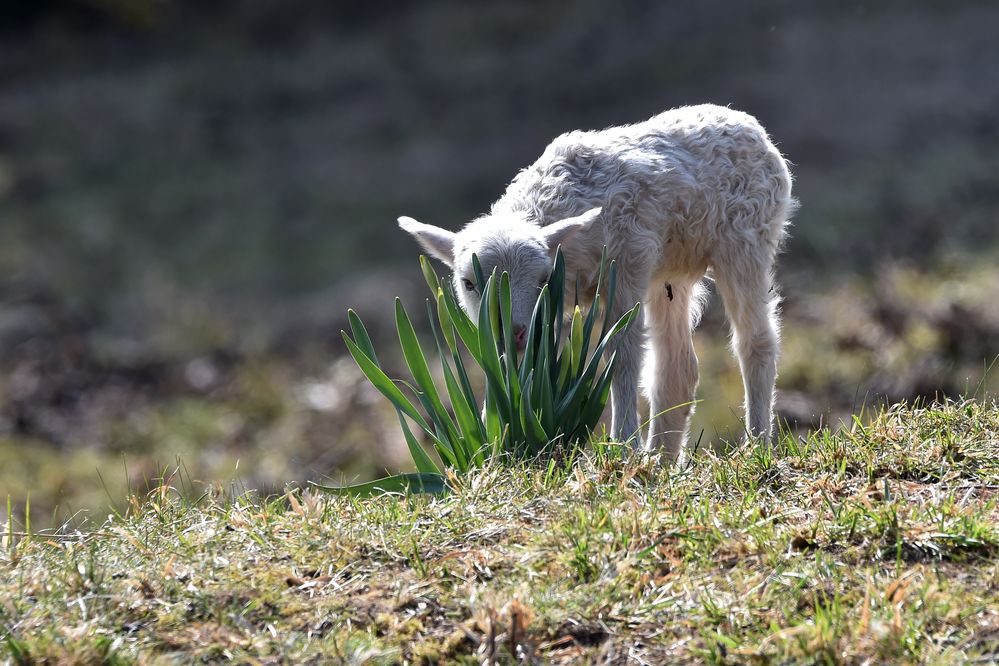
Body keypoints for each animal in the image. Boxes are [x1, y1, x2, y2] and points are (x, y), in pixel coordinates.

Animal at [398, 104, 796, 460]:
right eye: (468, 283)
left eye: (543, 279)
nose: (514, 331)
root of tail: (745, 121)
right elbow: (512, 365)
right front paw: (495, 439)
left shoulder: (628, 261)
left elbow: (621, 354)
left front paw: (623, 447)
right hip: (671, 271)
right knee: (676, 369)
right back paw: (662, 461)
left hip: (746, 237)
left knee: (755, 342)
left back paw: (756, 445)